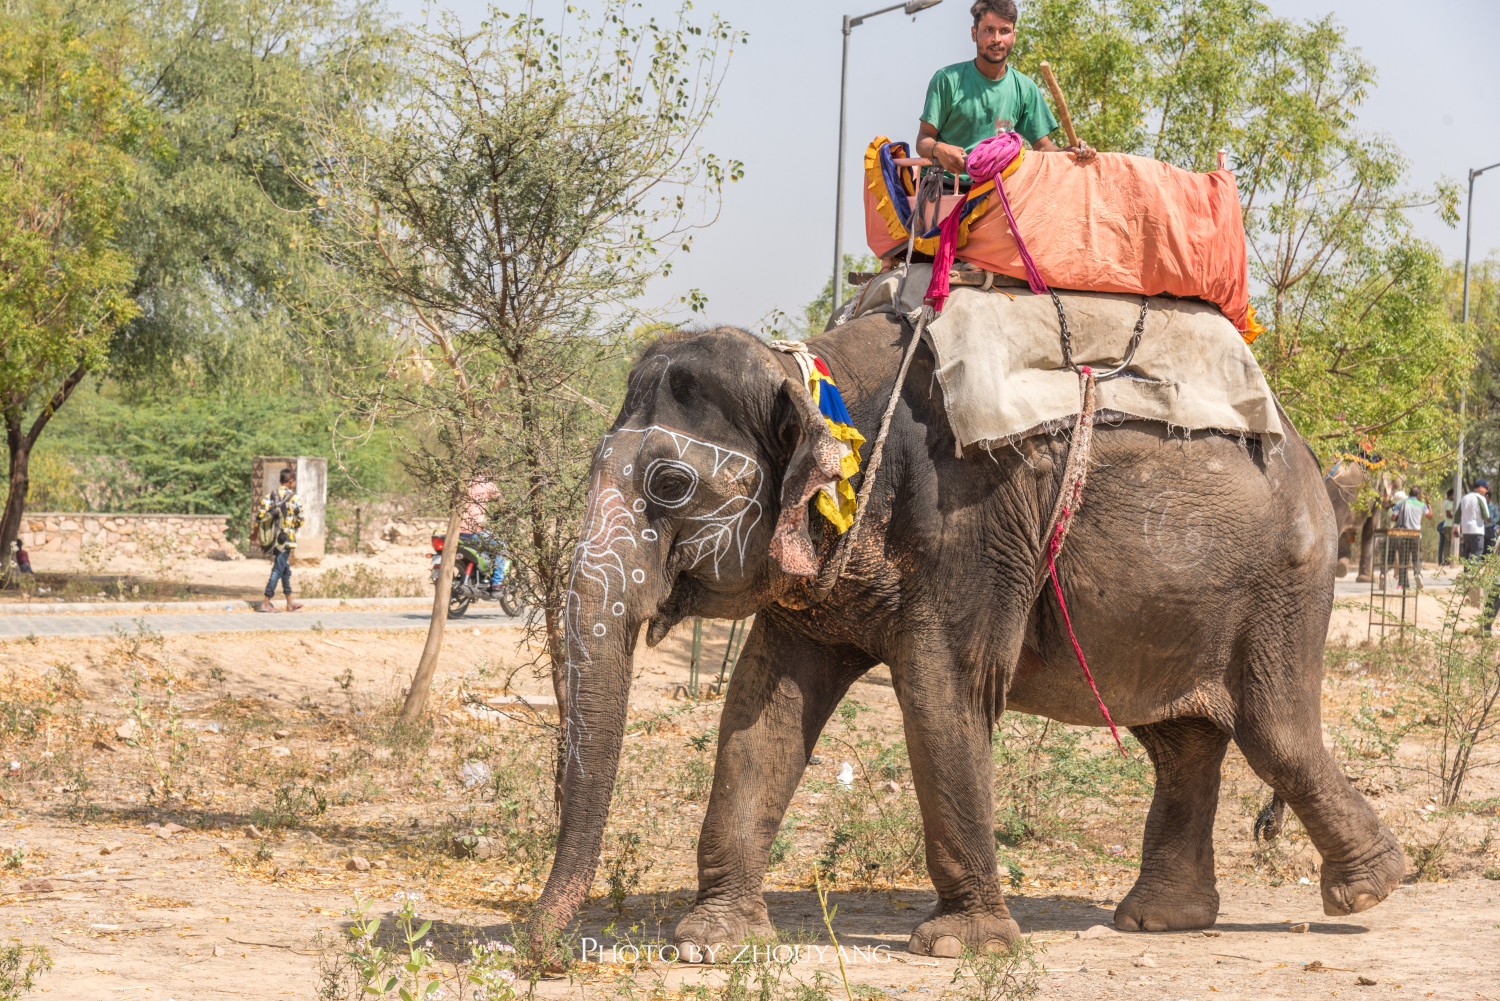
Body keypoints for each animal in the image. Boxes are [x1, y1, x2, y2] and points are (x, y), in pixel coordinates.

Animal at [531, 309, 1404, 960]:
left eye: (671, 482)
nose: (544, 947)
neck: (823, 380)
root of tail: (1312, 460)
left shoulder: (972, 526)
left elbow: (941, 689)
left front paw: (962, 946)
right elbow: (761, 708)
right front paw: (711, 943)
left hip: (1284, 582)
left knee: (1272, 728)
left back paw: (1367, 888)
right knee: (1182, 740)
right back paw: (1161, 919)